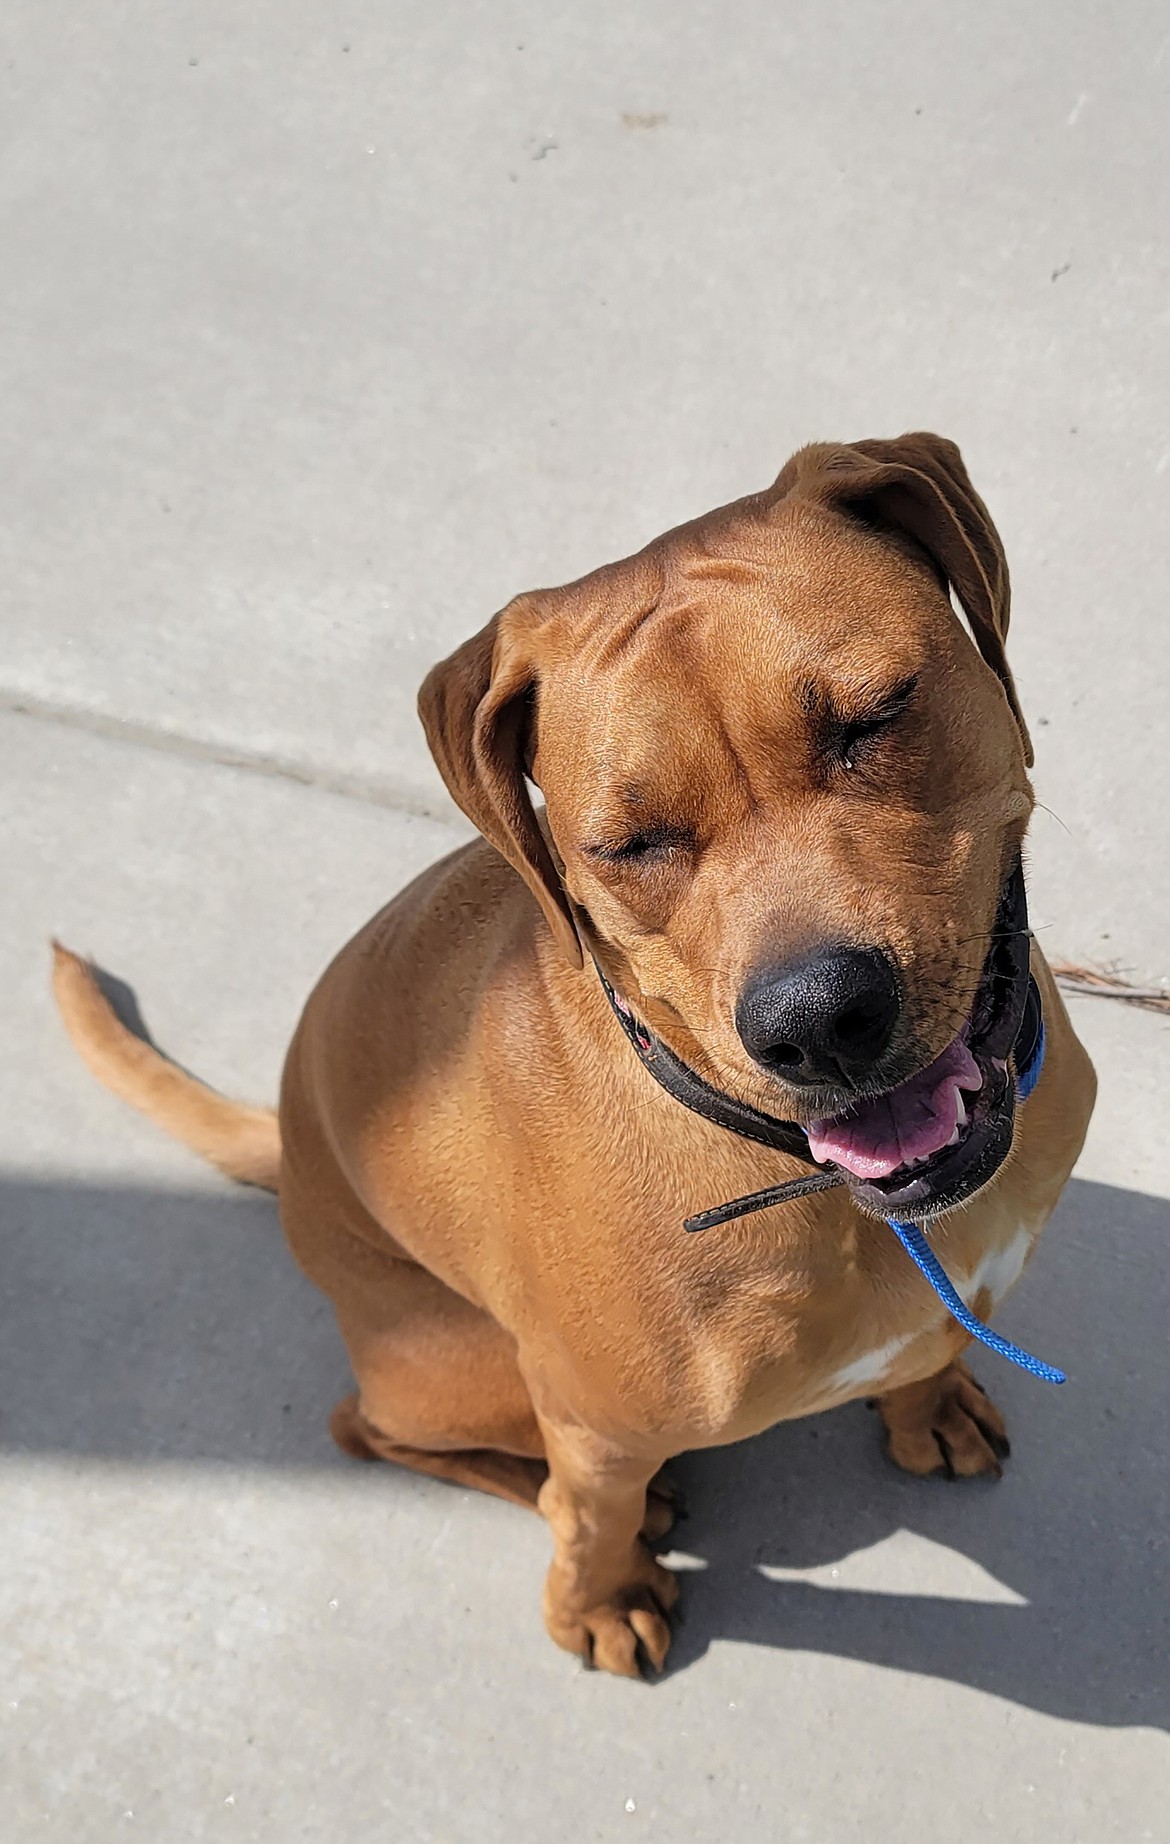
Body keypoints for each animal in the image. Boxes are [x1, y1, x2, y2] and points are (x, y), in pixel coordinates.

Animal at [52, 438, 1092, 1681]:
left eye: (878, 716)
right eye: (627, 844)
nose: (817, 1020)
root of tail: (294, 1151)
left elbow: (925, 1348)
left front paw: (927, 1396)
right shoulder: (591, 1422)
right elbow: (587, 1511)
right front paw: (600, 1594)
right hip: (468, 1368)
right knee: (369, 1429)